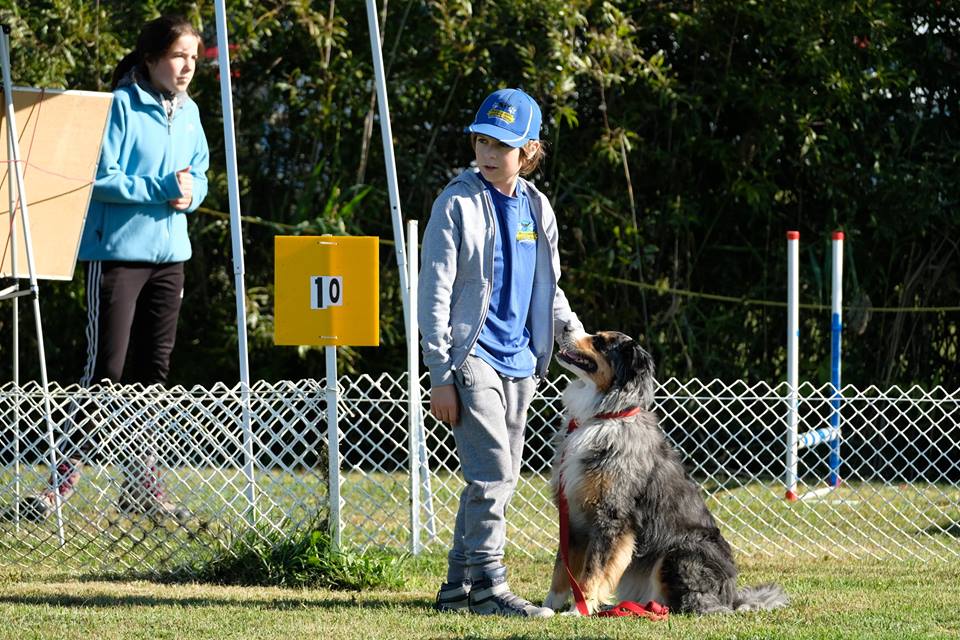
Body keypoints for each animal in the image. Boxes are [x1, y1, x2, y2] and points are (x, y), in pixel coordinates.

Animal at [544, 330, 784, 616]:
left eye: (600, 341)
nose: (564, 329)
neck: (606, 416)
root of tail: (731, 596)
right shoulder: (573, 515)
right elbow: (561, 568)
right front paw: (547, 608)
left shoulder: (610, 516)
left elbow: (593, 570)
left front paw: (579, 609)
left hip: (678, 552)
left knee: (692, 603)